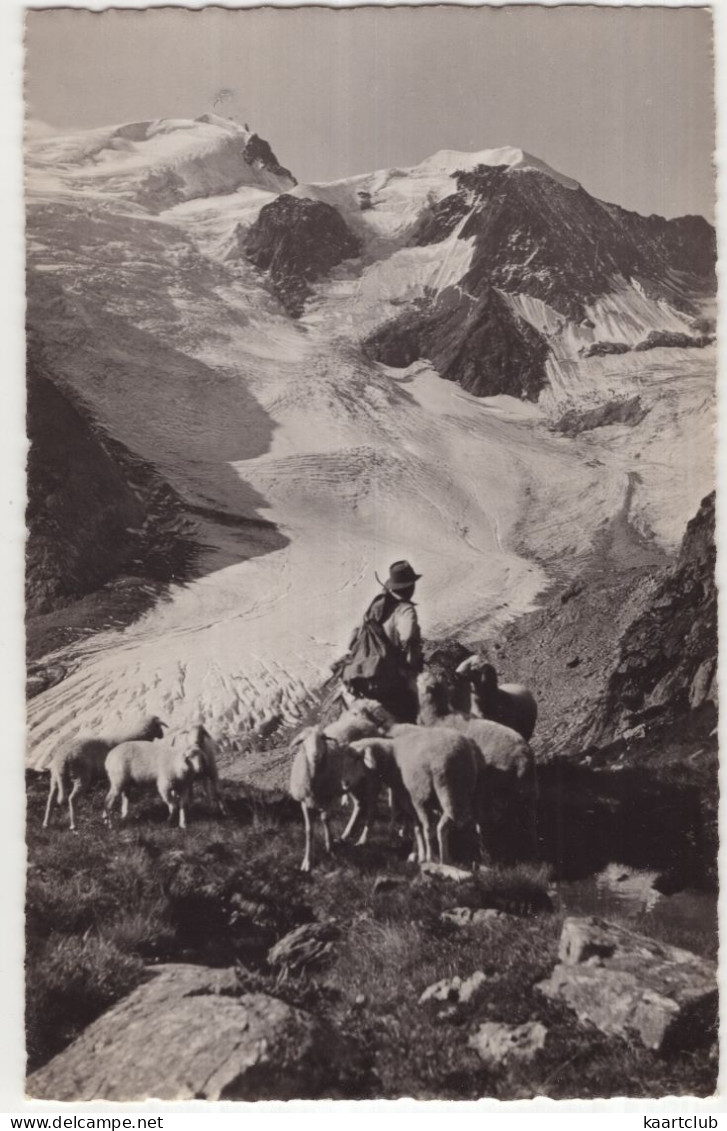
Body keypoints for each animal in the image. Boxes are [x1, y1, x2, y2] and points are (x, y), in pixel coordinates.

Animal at [343, 723, 481, 864]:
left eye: (357, 759)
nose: (345, 783)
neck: (392, 758)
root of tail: (442, 762)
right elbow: (418, 827)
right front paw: (417, 853)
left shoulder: (409, 800)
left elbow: (417, 828)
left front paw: (417, 854)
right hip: (458, 794)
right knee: (444, 826)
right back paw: (445, 859)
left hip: (423, 795)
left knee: (429, 827)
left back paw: (430, 858)